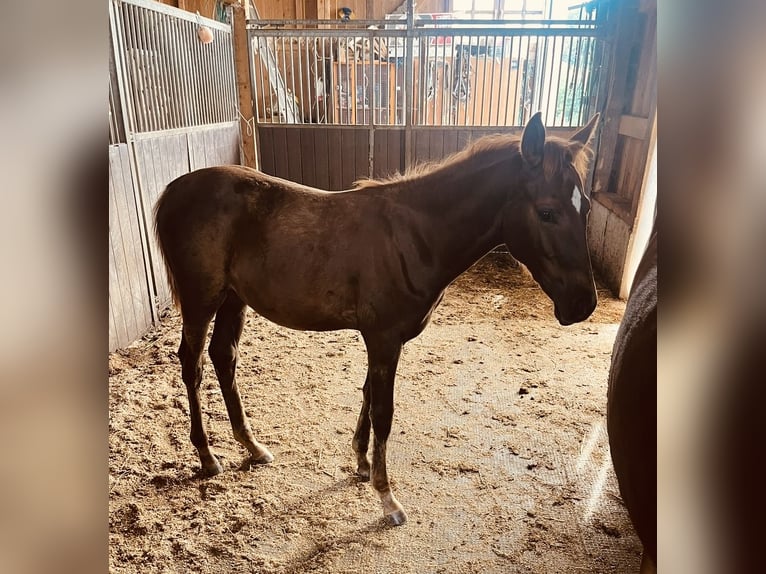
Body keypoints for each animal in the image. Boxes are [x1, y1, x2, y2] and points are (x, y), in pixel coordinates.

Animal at [153, 111, 600, 526]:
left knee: (223, 357)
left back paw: (252, 447)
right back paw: (207, 456)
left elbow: (368, 396)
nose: (583, 304)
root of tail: (174, 189)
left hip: (233, 299)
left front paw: (362, 465)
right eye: (547, 212)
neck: (415, 236)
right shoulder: (384, 338)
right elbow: (383, 413)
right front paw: (388, 499)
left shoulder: (382, 340)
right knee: (191, 365)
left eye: (586, 208)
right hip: (200, 300)